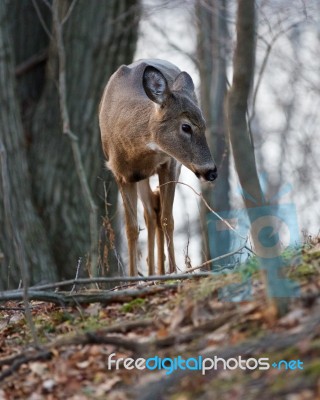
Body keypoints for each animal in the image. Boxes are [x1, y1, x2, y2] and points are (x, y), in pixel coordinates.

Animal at [99, 59, 216, 276]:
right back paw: (153, 274)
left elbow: (168, 219)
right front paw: (132, 278)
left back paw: (160, 273)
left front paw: (172, 272)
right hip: (141, 177)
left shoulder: (169, 163)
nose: (211, 171)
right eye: (186, 126)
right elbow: (131, 228)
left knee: (156, 209)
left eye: (204, 125)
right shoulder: (120, 173)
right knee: (150, 212)